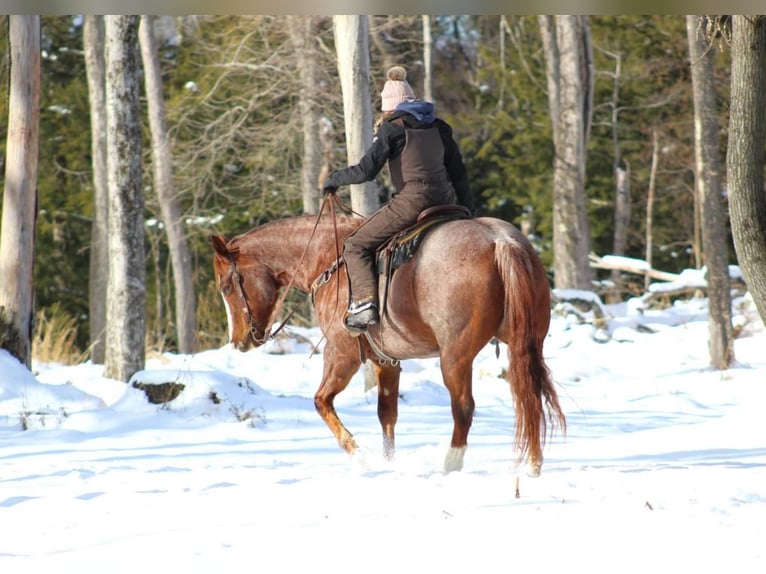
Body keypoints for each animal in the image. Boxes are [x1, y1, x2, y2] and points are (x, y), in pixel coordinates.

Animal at [213, 209, 568, 474]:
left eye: (227, 286)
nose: (239, 340)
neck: (328, 257)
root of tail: (500, 242)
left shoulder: (342, 355)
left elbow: (321, 401)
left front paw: (358, 454)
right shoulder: (387, 361)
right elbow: (387, 414)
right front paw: (388, 461)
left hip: (455, 357)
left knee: (464, 408)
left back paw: (451, 464)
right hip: (526, 344)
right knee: (529, 395)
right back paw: (534, 464)